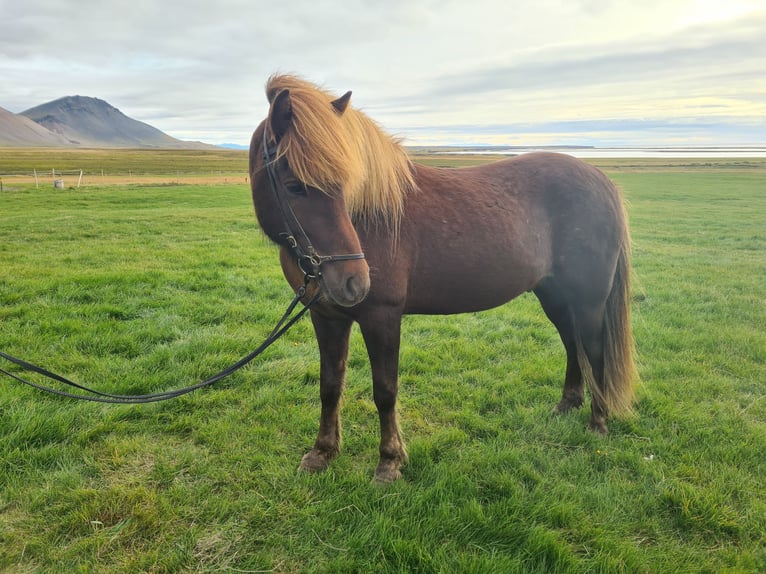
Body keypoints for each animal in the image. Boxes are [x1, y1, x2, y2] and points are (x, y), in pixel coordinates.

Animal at [249, 74, 640, 484]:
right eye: (293, 186)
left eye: (345, 184)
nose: (354, 281)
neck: (370, 217)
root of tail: (602, 181)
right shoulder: (326, 316)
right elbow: (330, 386)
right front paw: (322, 453)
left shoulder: (381, 317)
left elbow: (384, 390)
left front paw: (389, 462)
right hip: (554, 297)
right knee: (571, 344)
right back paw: (567, 405)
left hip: (588, 301)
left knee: (593, 350)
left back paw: (598, 423)